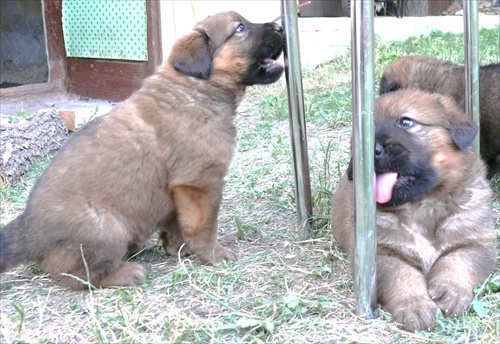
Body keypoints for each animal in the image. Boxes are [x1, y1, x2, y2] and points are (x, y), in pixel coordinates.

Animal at [0, 11, 286, 290]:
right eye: (240, 28)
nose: (281, 27)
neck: (196, 88)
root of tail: (28, 232)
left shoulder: (178, 189)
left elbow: (177, 223)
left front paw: (178, 249)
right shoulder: (200, 183)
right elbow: (203, 226)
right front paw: (214, 255)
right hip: (108, 229)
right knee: (77, 275)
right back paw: (126, 273)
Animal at [332, 90, 496, 332]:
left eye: (406, 122)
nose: (373, 151)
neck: (424, 203)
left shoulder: (476, 243)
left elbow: (457, 262)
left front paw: (451, 291)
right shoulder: (383, 253)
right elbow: (403, 275)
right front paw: (415, 307)